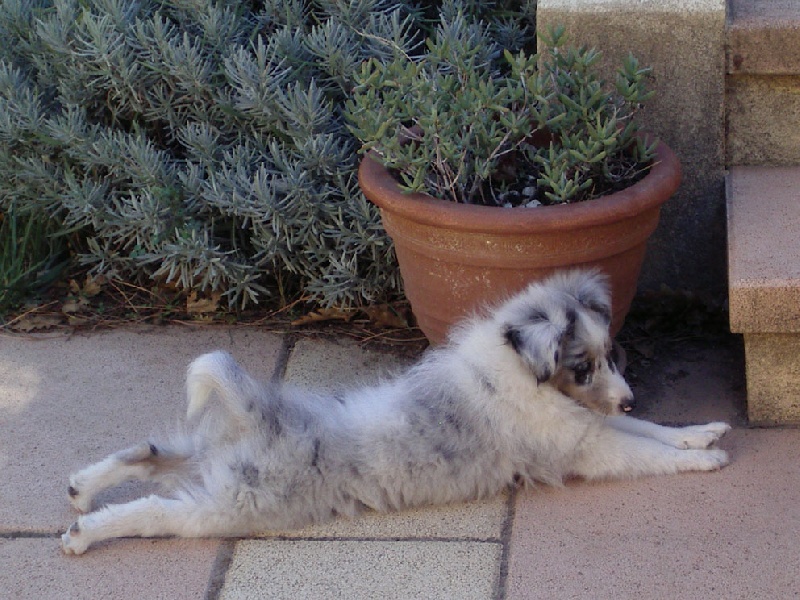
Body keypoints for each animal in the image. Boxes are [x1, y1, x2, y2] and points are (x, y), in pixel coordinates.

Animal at [61, 270, 732, 556]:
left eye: (608, 356)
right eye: (583, 366)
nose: (629, 393)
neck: (519, 370)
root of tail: (259, 416)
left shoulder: (590, 422)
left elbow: (650, 430)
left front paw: (702, 432)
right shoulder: (587, 447)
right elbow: (644, 451)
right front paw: (710, 459)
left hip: (208, 460)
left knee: (149, 454)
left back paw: (78, 491)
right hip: (228, 506)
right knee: (153, 509)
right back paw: (84, 534)